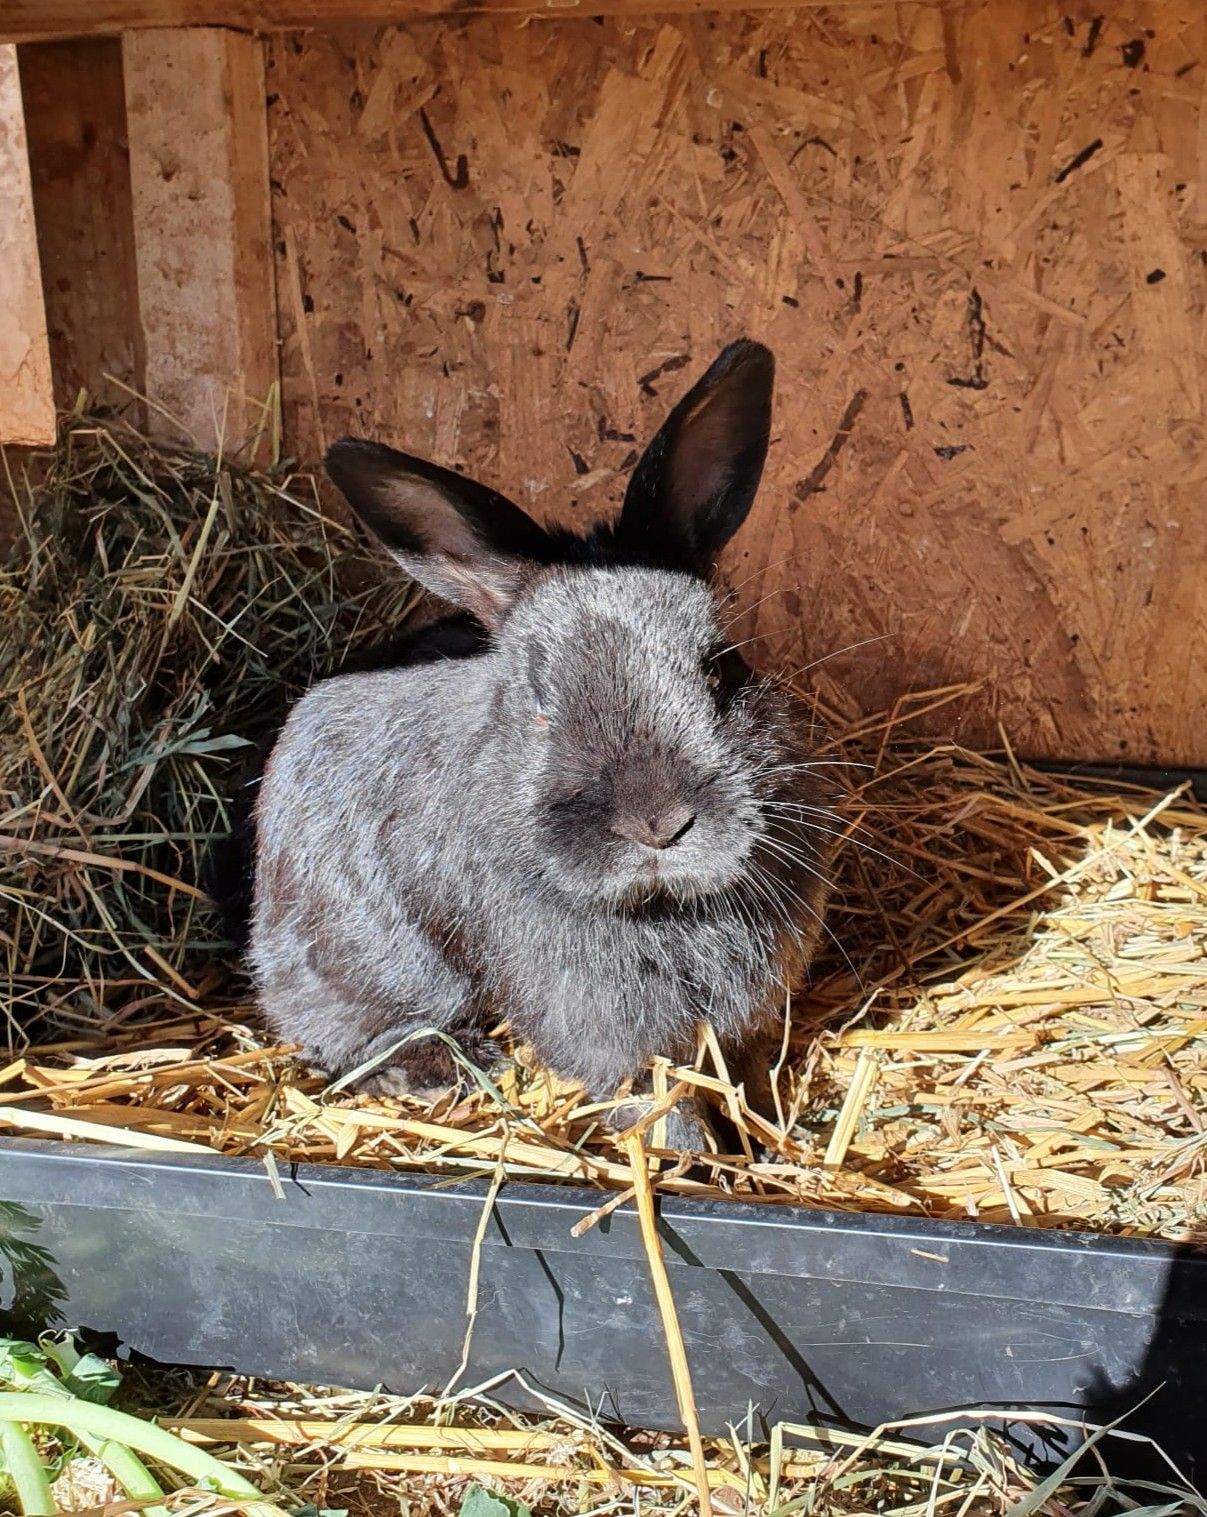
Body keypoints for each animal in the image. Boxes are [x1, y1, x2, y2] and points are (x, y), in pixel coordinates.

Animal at [247, 339, 839, 1150]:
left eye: (723, 665)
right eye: (535, 702)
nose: (657, 824)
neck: (662, 906)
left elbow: (742, 1072)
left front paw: (777, 1136)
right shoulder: (601, 1018)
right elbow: (653, 1095)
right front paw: (695, 1156)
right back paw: (447, 1067)